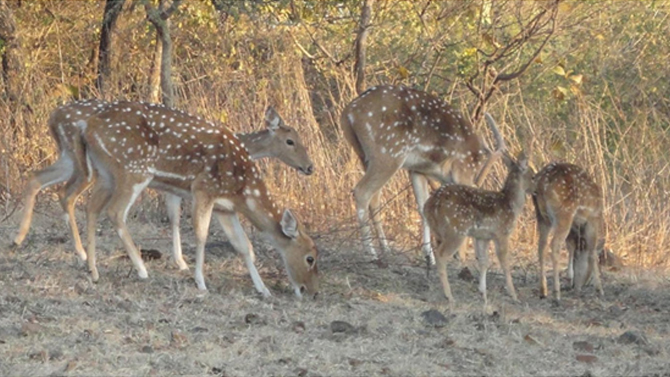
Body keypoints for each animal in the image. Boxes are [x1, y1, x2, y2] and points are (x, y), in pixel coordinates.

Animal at [11, 98, 316, 270]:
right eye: (290, 141)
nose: (310, 167)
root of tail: (53, 116)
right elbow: (182, 219)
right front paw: (183, 264)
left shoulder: (171, 186)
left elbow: (173, 217)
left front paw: (180, 261)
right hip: (89, 166)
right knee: (69, 195)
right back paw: (82, 254)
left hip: (69, 157)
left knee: (39, 179)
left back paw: (22, 238)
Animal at [79, 101, 320, 298]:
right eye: (310, 258)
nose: (312, 292)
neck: (243, 188)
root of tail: (88, 127)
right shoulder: (203, 189)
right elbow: (200, 234)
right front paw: (200, 282)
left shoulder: (225, 207)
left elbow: (243, 246)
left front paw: (264, 289)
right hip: (133, 170)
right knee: (114, 211)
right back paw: (140, 270)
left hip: (106, 174)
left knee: (91, 207)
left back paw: (93, 270)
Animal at [342, 84, 504, 264]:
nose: (462, 256)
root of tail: (349, 112)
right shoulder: (462, 167)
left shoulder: (418, 170)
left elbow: (423, 206)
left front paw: (429, 257)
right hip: (388, 153)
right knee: (362, 191)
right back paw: (370, 252)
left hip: (364, 156)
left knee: (374, 197)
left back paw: (386, 249)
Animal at [426, 151, 536, 304]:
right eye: (533, 176)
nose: (536, 190)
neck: (511, 205)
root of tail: (430, 206)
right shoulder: (501, 233)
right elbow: (505, 262)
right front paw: (514, 295)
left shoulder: (482, 236)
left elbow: (484, 261)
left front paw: (483, 293)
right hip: (456, 231)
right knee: (440, 254)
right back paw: (449, 295)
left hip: (439, 231)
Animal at [532, 162, 608, 300]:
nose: (583, 284)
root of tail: (540, 184)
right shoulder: (593, 219)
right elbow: (592, 252)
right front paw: (599, 289)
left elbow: (571, 247)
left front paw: (570, 278)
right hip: (564, 213)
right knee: (554, 244)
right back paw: (556, 295)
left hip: (541, 215)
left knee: (542, 245)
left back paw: (543, 291)